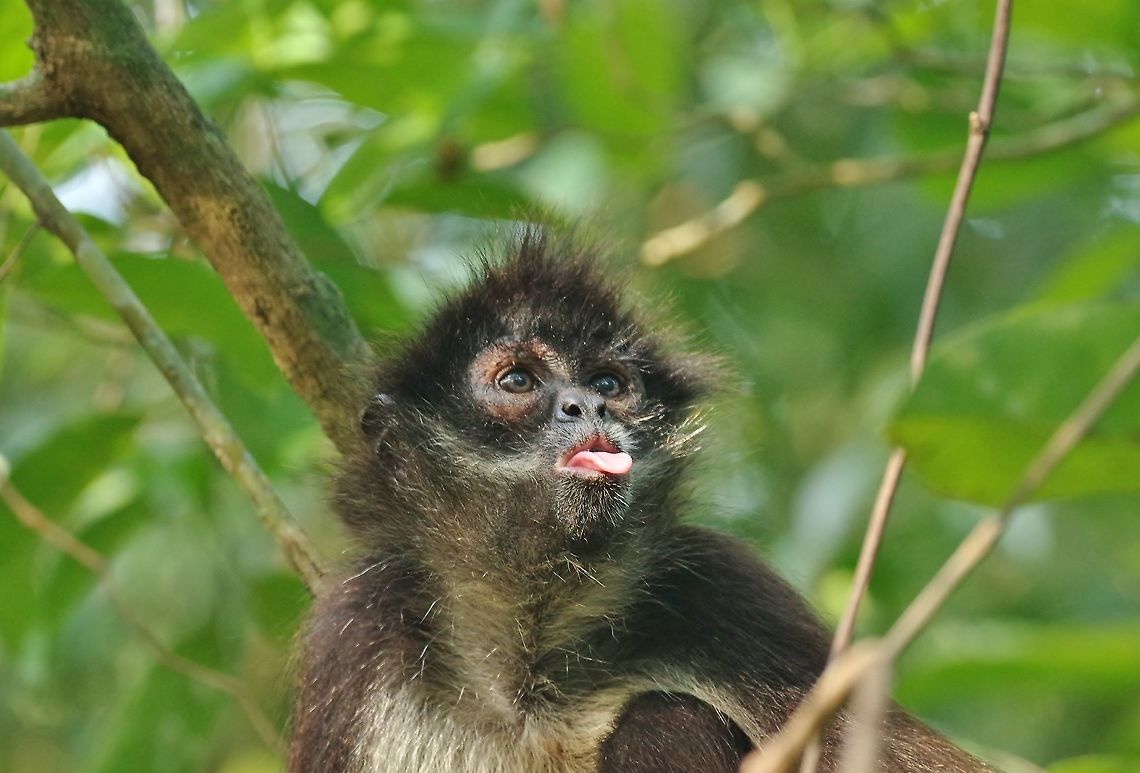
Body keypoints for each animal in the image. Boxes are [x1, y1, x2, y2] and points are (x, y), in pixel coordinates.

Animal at [288, 231, 991, 772]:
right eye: (517, 380)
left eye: (608, 383)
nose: (586, 407)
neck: (530, 675)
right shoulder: (357, 634)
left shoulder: (720, 586)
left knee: (662, 717)